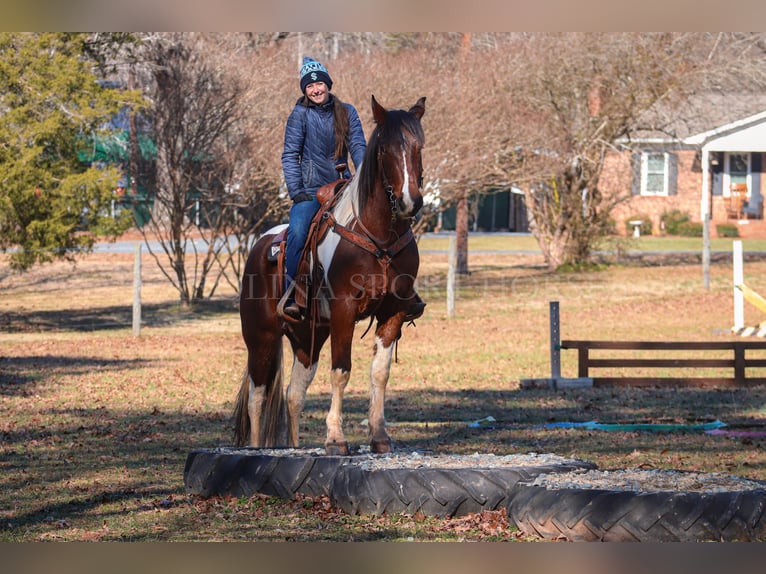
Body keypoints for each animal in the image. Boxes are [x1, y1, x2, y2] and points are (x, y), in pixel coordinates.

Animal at [234, 93, 426, 454]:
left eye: (419, 145)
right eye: (385, 149)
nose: (410, 201)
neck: (378, 237)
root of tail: (261, 243)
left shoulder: (392, 312)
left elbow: (379, 373)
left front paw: (379, 436)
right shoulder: (343, 311)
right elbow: (341, 371)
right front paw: (336, 439)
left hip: (307, 338)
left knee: (293, 395)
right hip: (260, 337)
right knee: (258, 396)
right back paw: (254, 449)